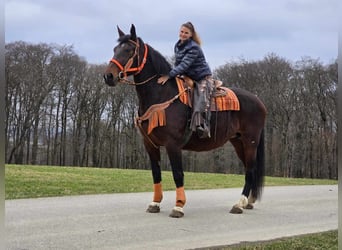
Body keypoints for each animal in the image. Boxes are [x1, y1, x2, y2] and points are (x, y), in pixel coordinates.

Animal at [104, 24, 268, 218]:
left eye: (129, 50)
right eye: (115, 49)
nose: (108, 76)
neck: (161, 95)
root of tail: (259, 101)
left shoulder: (173, 145)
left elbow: (178, 174)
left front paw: (178, 206)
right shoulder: (150, 145)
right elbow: (156, 174)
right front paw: (155, 203)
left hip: (250, 141)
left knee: (250, 170)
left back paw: (239, 204)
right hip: (238, 141)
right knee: (251, 169)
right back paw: (249, 201)